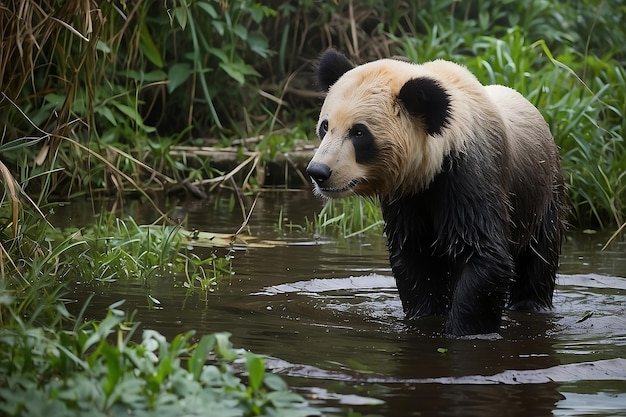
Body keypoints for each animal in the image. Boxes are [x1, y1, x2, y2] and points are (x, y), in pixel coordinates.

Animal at [304, 48, 568, 334]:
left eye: (359, 132)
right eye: (325, 126)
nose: (318, 172)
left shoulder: (471, 174)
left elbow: (485, 255)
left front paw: (462, 330)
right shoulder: (406, 197)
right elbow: (414, 258)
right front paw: (425, 317)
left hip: (543, 194)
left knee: (538, 261)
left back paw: (531, 305)